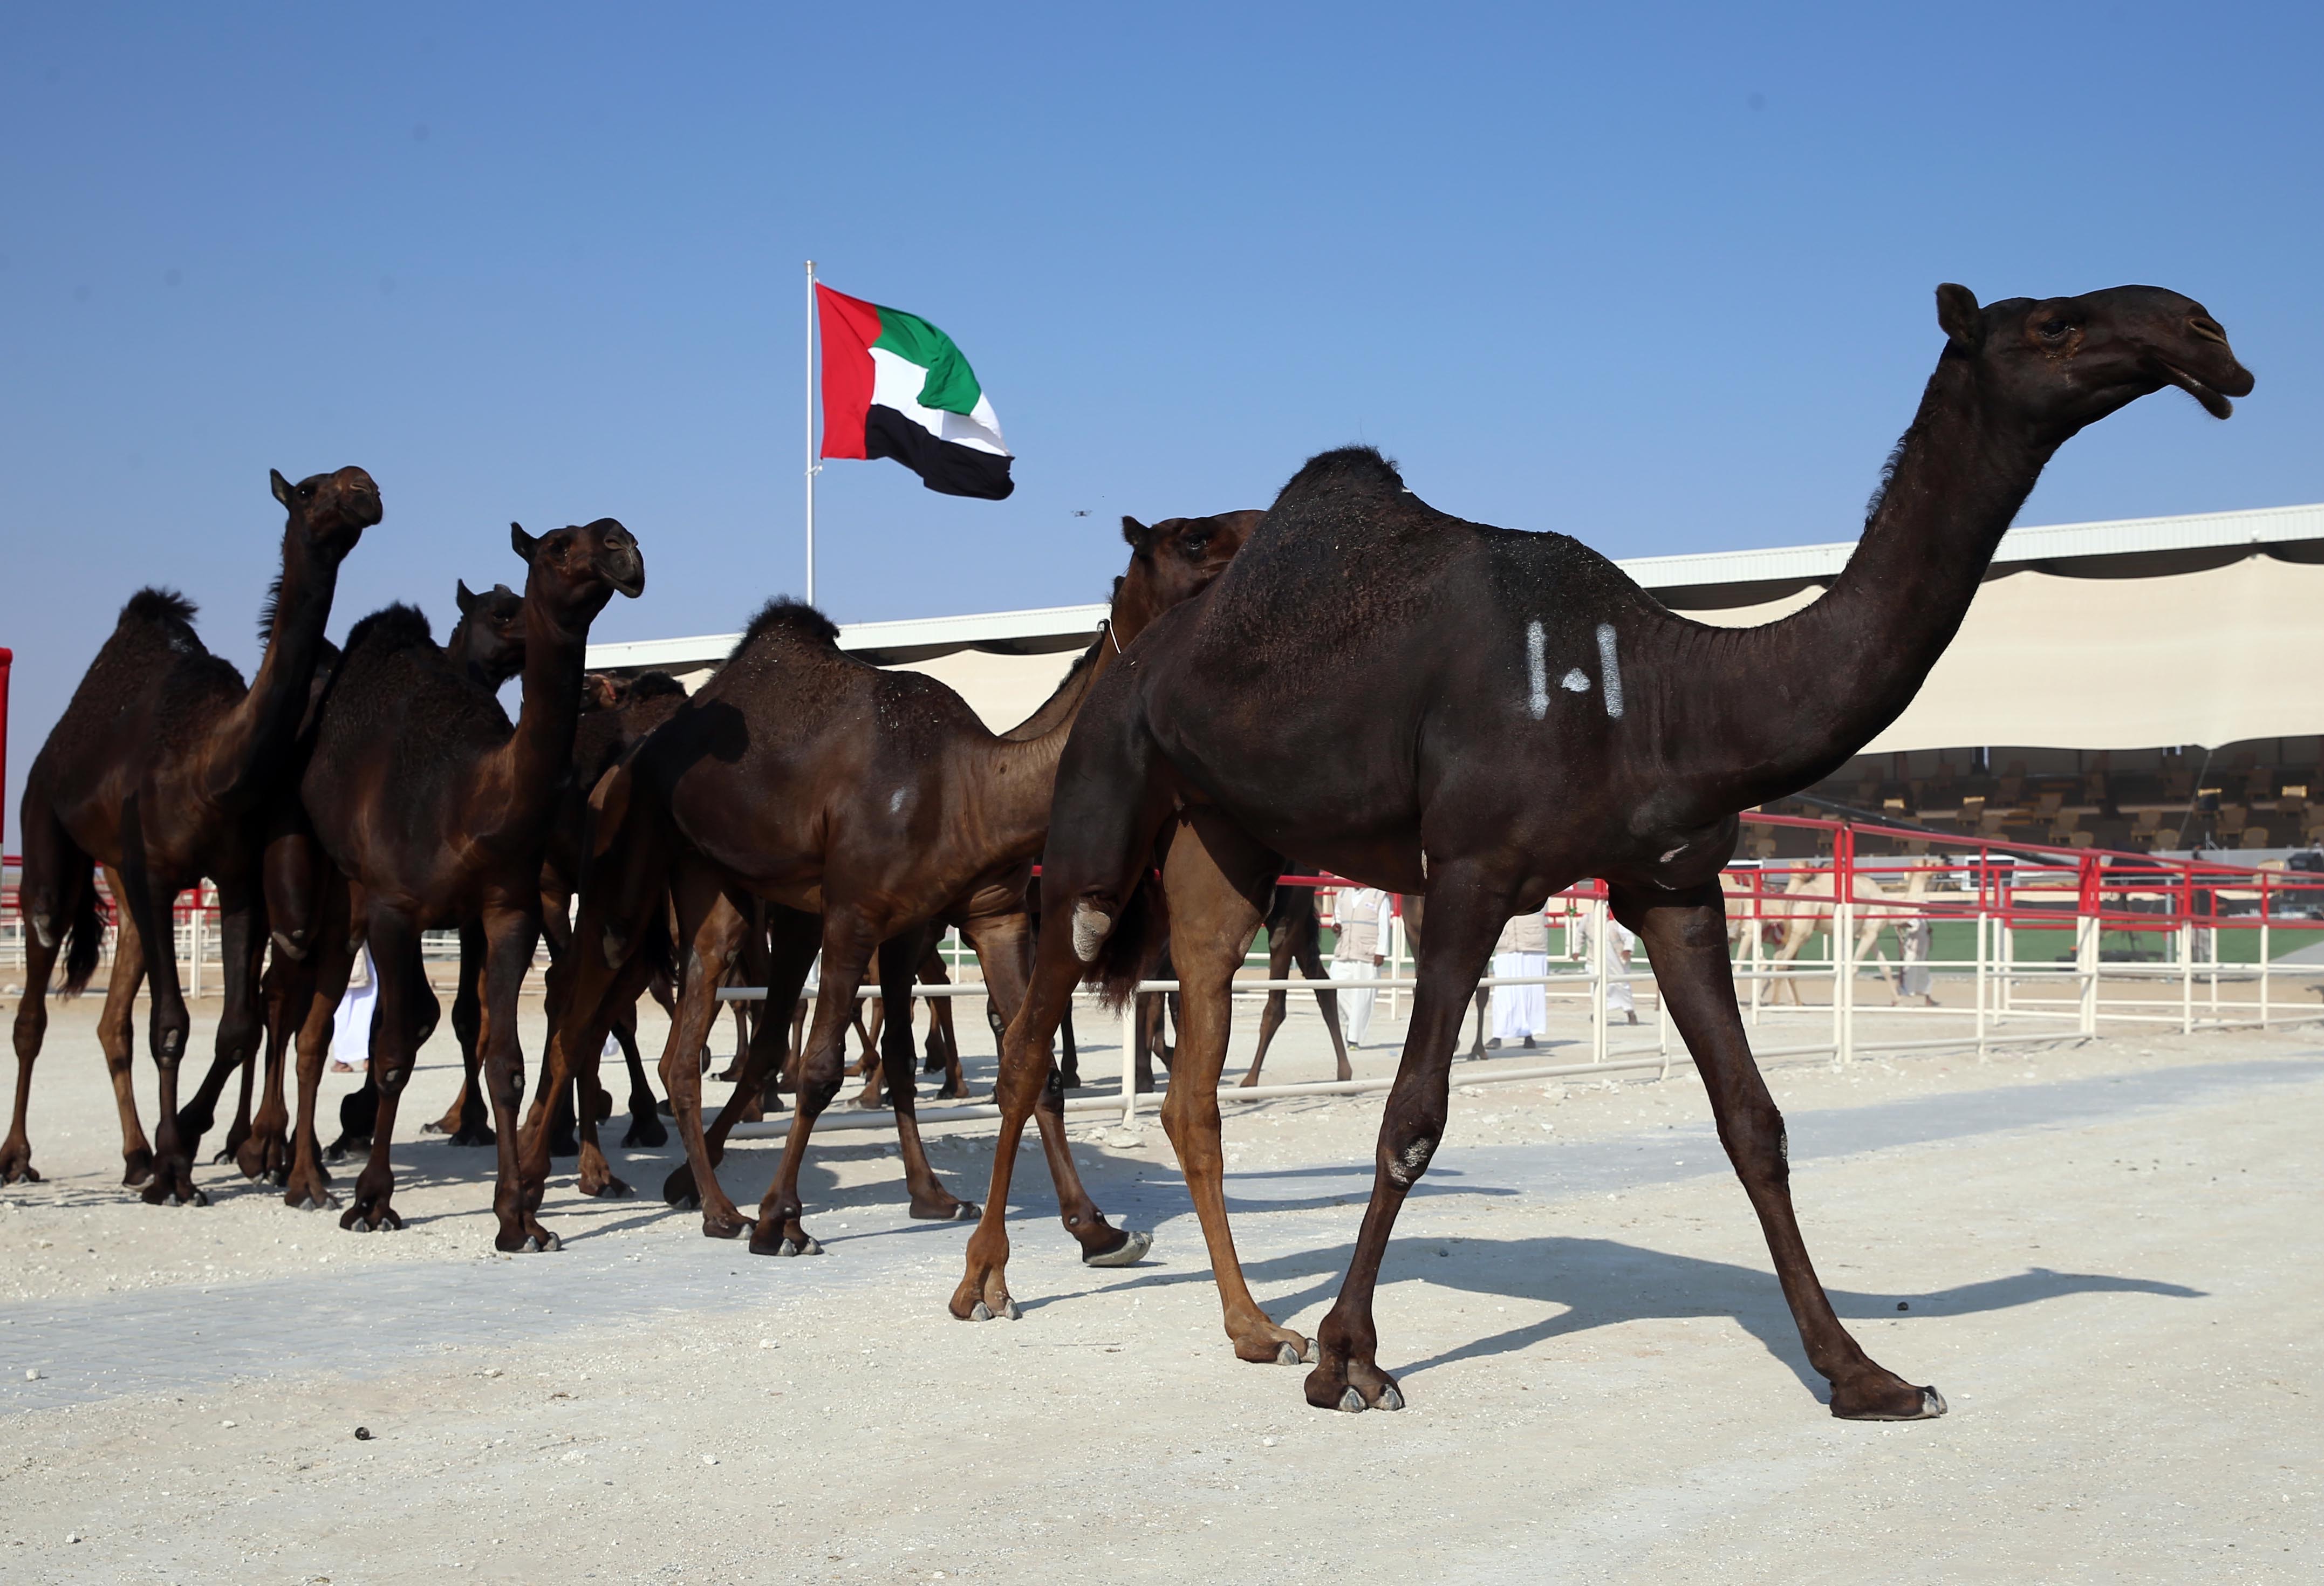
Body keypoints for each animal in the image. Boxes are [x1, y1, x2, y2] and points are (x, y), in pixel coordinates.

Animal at [9, 469, 381, 1200]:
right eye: (309, 489)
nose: (365, 488)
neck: (209, 768)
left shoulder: (234, 879)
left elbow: (234, 1027)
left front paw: (181, 1145)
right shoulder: (157, 872)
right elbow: (172, 1025)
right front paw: (177, 1172)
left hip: (121, 885)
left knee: (112, 1021)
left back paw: (134, 1155)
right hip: (46, 833)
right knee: (36, 995)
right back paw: (18, 1157)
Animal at [287, 511, 646, 1228]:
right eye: (559, 545)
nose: (624, 544)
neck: (470, 797)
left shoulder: (507, 911)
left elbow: (504, 1054)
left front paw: (519, 1214)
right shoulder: (395, 910)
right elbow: (395, 1049)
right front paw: (373, 1199)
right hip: (334, 893)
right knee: (305, 1021)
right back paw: (302, 1176)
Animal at [518, 511, 1264, 1255]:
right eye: (1193, 538)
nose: (1263, 528)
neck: (974, 783)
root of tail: (621, 767)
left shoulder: (989, 917)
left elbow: (1030, 1065)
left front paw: (1093, 1227)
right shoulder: (855, 911)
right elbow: (821, 1067)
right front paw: (781, 1220)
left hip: (712, 886)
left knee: (683, 1034)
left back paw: (710, 1205)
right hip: (626, 880)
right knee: (578, 1016)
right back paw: (534, 1204)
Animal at [948, 283, 2250, 1423]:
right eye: (2057, 322)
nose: (2207, 334)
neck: (1663, 689)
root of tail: (1134, 660)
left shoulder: (1675, 885)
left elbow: (1755, 1123)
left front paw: (1864, 1375)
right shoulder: (1471, 872)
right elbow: (1411, 1115)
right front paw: (1350, 1361)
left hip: (1227, 844)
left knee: (1194, 1075)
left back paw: (1250, 1325)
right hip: (1103, 805)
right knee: (1028, 1039)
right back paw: (993, 1279)